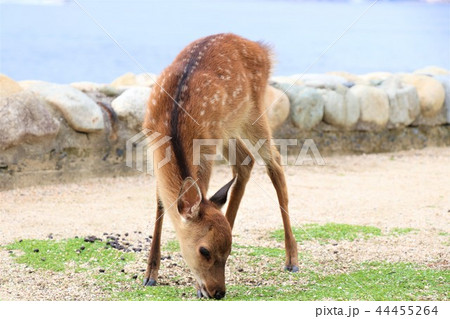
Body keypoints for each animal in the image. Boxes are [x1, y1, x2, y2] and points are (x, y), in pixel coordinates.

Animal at [144, 33, 298, 300]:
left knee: (275, 162)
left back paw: (292, 259)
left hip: (252, 113)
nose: (218, 292)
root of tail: (263, 49)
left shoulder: (206, 149)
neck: (173, 124)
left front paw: (195, 287)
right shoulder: (153, 148)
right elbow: (160, 202)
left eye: (227, 254)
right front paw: (149, 275)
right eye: (204, 250)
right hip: (229, 127)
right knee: (246, 160)